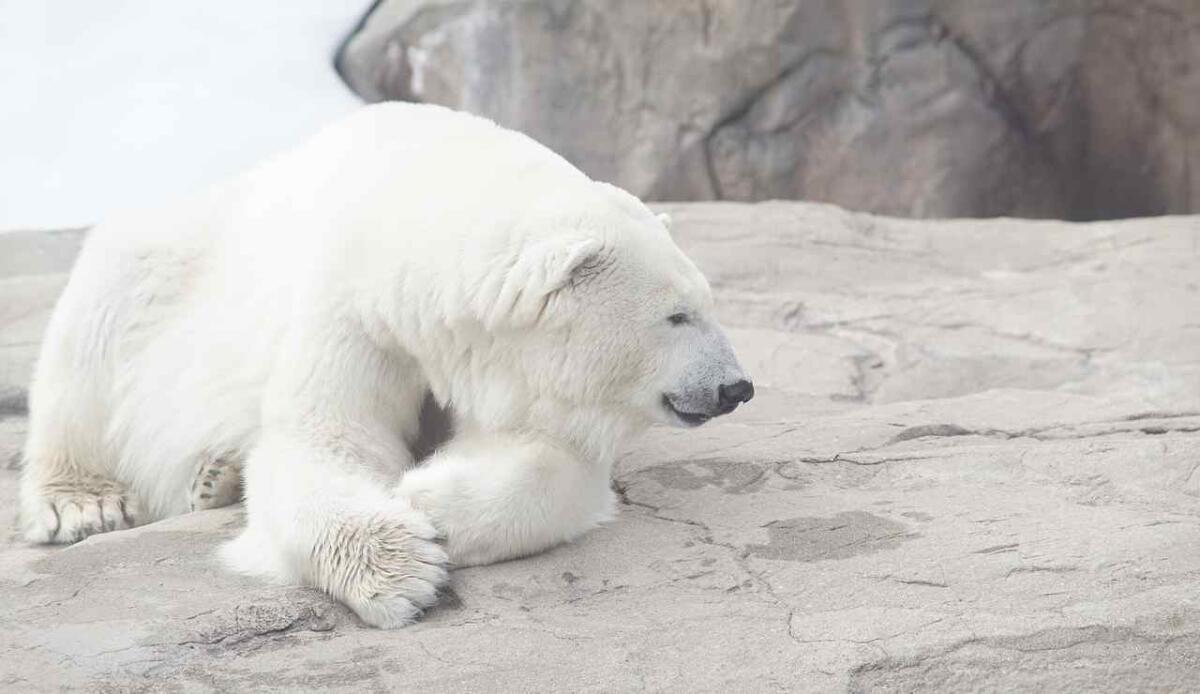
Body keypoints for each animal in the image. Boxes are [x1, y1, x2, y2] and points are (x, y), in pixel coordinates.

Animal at [18, 102, 754, 627]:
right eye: (677, 316)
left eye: (708, 302)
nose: (736, 387)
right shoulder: (353, 309)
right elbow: (323, 440)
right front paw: (402, 567)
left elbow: (553, 457)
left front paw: (429, 499)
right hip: (161, 266)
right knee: (92, 340)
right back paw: (84, 503)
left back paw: (215, 477)